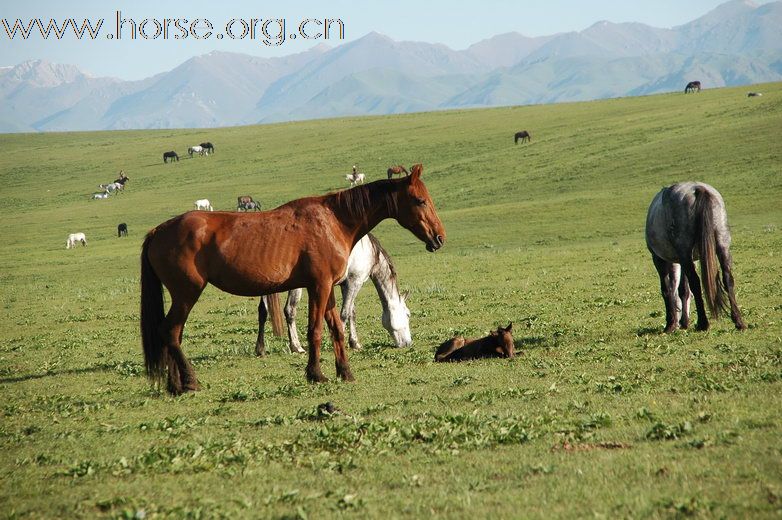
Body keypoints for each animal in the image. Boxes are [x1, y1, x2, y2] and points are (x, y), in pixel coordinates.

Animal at [258, 234, 416, 356]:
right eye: (408, 314)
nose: (408, 343)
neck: (368, 251)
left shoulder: (346, 285)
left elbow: (352, 312)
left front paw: (354, 343)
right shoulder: (355, 282)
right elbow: (344, 314)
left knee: (263, 312)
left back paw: (260, 349)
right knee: (290, 310)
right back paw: (296, 347)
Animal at [648, 183, 752, 334]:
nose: (677, 324)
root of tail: (697, 189)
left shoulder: (660, 259)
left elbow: (667, 290)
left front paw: (670, 324)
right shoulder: (685, 260)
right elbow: (683, 291)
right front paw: (683, 322)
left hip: (684, 252)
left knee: (695, 283)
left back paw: (703, 323)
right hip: (722, 244)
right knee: (728, 279)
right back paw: (738, 321)